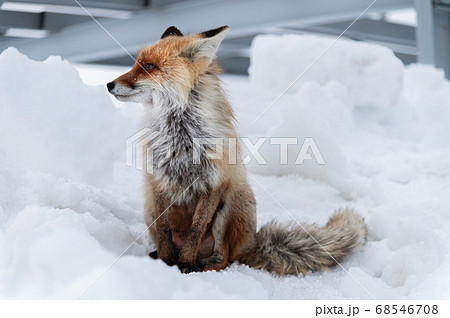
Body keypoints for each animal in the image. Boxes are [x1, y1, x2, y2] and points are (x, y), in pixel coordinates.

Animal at [107, 24, 368, 274]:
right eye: (135, 63)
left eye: (148, 66)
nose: (109, 84)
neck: (181, 136)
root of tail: (250, 243)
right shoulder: (158, 180)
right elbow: (164, 230)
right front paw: (165, 261)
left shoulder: (213, 183)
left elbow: (196, 229)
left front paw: (184, 264)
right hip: (148, 206)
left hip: (230, 204)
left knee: (224, 258)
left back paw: (198, 266)